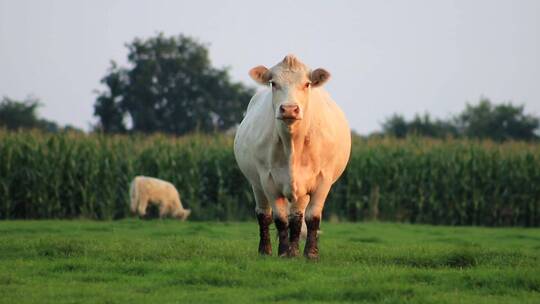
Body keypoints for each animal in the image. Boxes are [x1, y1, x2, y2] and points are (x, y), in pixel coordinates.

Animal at [234, 54, 352, 258]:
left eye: (307, 84)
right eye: (273, 83)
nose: (289, 109)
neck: (292, 145)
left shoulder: (323, 179)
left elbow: (311, 218)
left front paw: (309, 254)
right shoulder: (268, 179)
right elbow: (280, 219)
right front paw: (283, 252)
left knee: (297, 216)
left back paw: (294, 250)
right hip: (256, 184)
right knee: (263, 214)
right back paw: (266, 250)